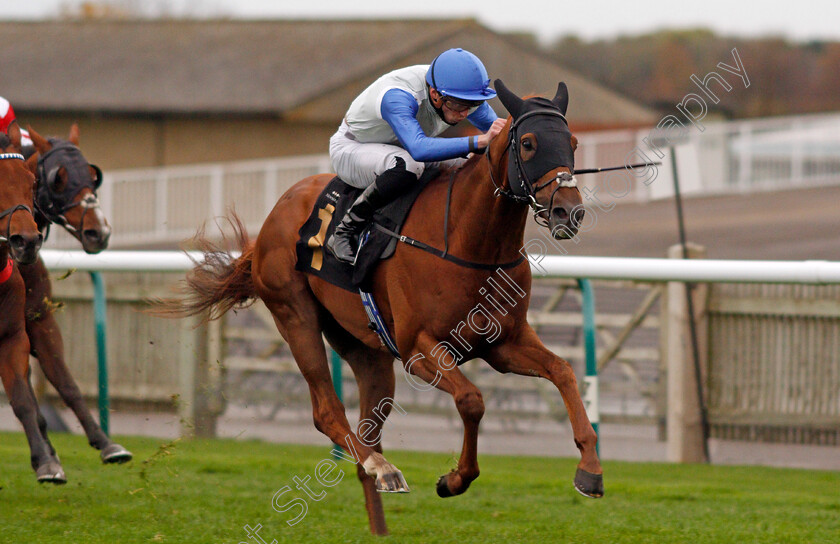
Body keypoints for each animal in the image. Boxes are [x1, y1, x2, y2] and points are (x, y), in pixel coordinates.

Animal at [20, 126, 133, 464]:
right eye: (59, 177)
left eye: (93, 175)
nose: (99, 232)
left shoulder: (39, 319)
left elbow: (64, 381)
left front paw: (106, 443)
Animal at [159, 82, 604, 536]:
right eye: (528, 143)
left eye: (572, 142)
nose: (569, 211)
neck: (469, 242)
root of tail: (272, 218)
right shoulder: (418, 349)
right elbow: (472, 400)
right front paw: (454, 480)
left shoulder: (504, 342)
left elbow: (564, 372)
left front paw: (590, 471)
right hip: (295, 316)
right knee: (326, 411)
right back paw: (382, 467)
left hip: (366, 350)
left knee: (366, 431)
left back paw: (379, 512)